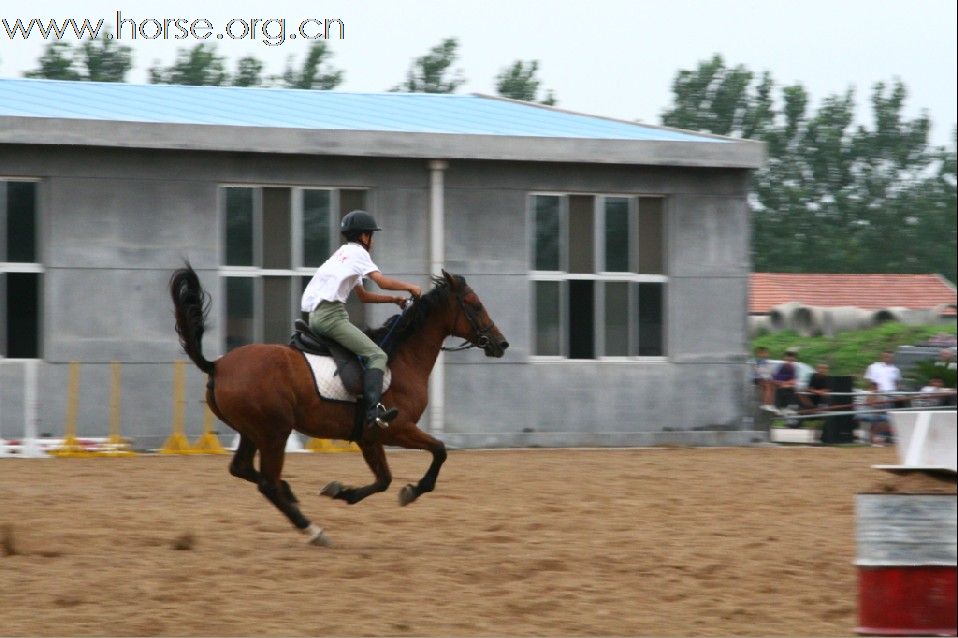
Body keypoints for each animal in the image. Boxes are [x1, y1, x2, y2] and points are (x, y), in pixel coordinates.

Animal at [170, 262, 510, 548]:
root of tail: (217, 366)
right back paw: (312, 529)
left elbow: (384, 480)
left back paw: (291, 494)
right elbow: (439, 451)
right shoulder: (396, 429)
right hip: (274, 434)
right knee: (267, 483)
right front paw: (412, 491)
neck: (403, 359)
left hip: (253, 432)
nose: (501, 343)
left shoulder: (369, 437)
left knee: (242, 469)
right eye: (475, 305)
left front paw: (342, 491)